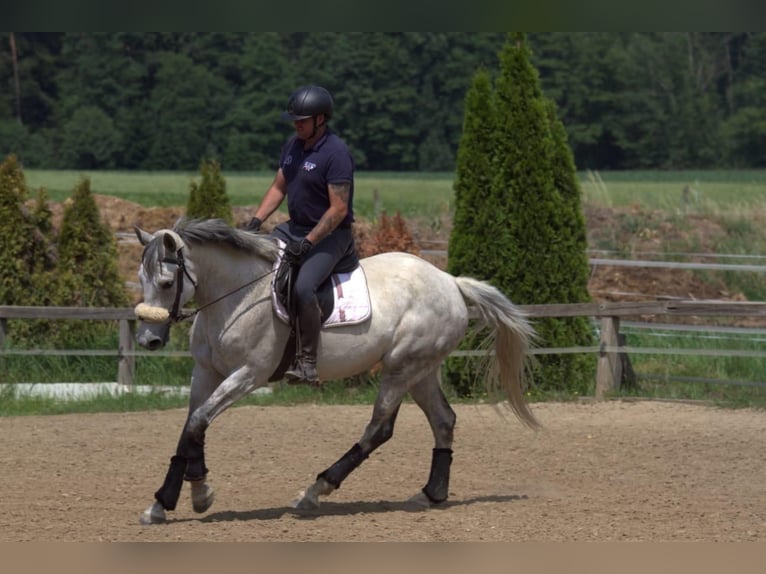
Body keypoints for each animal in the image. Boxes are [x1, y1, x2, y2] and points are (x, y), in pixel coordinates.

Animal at [133, 218, 539, 525]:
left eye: (167, 283)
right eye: (141, 279)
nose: (148, 340)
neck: (238, 296)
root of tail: (451, 282)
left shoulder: (248, 374)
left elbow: (199, 421)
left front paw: (194, 494)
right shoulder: (206, 372)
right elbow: (190, 426)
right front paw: (169, 501)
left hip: (402, 366)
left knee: (379, 429)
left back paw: (315, 491)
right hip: (421, 371)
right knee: (443, 420)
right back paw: (431, 494)